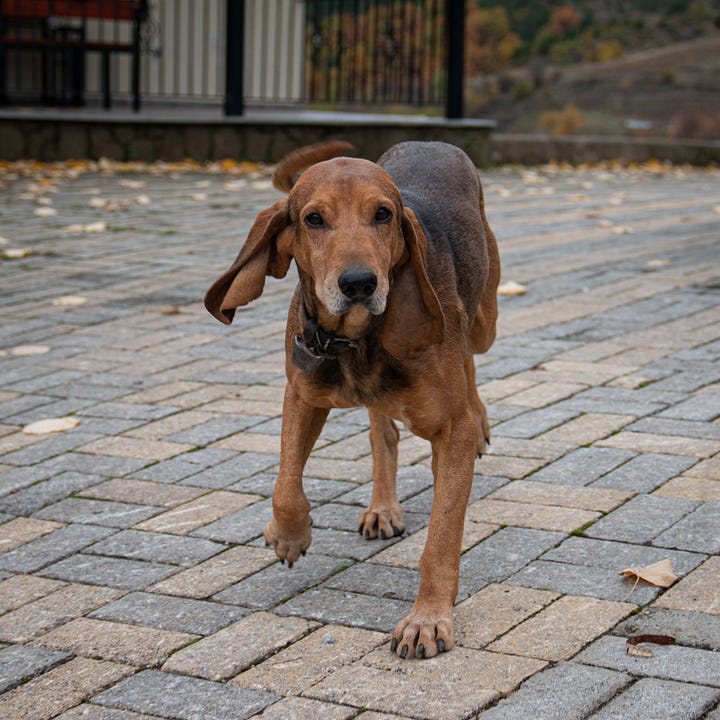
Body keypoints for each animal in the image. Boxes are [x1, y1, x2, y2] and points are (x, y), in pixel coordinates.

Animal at [205, 139, 500, 660]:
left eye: (383, 214)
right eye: (313, 219)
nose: (360, 283)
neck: (357, 340)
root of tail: (430, 141)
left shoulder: (452, 430)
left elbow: (442, 538)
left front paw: (427, 619)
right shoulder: (302, 395)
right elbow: (285, 485)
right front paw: (289, 535)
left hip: (485, 319)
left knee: (469, 357)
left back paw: (479, 420)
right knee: (383, 431)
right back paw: (383, 506)